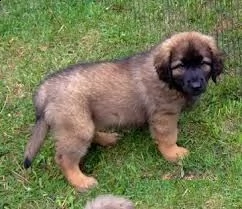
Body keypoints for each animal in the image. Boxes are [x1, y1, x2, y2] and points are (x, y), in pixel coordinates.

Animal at [23, 31, 223, 191]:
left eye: (204, 63)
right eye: (180, 66)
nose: (196, 85)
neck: (170, 81)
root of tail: (45, 90)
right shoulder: (164, 116)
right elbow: (168, 137)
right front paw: (173, 153)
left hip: (84, 120)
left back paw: (107, 139)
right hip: (77, 125)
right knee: (64, 158)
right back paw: (81, 181)